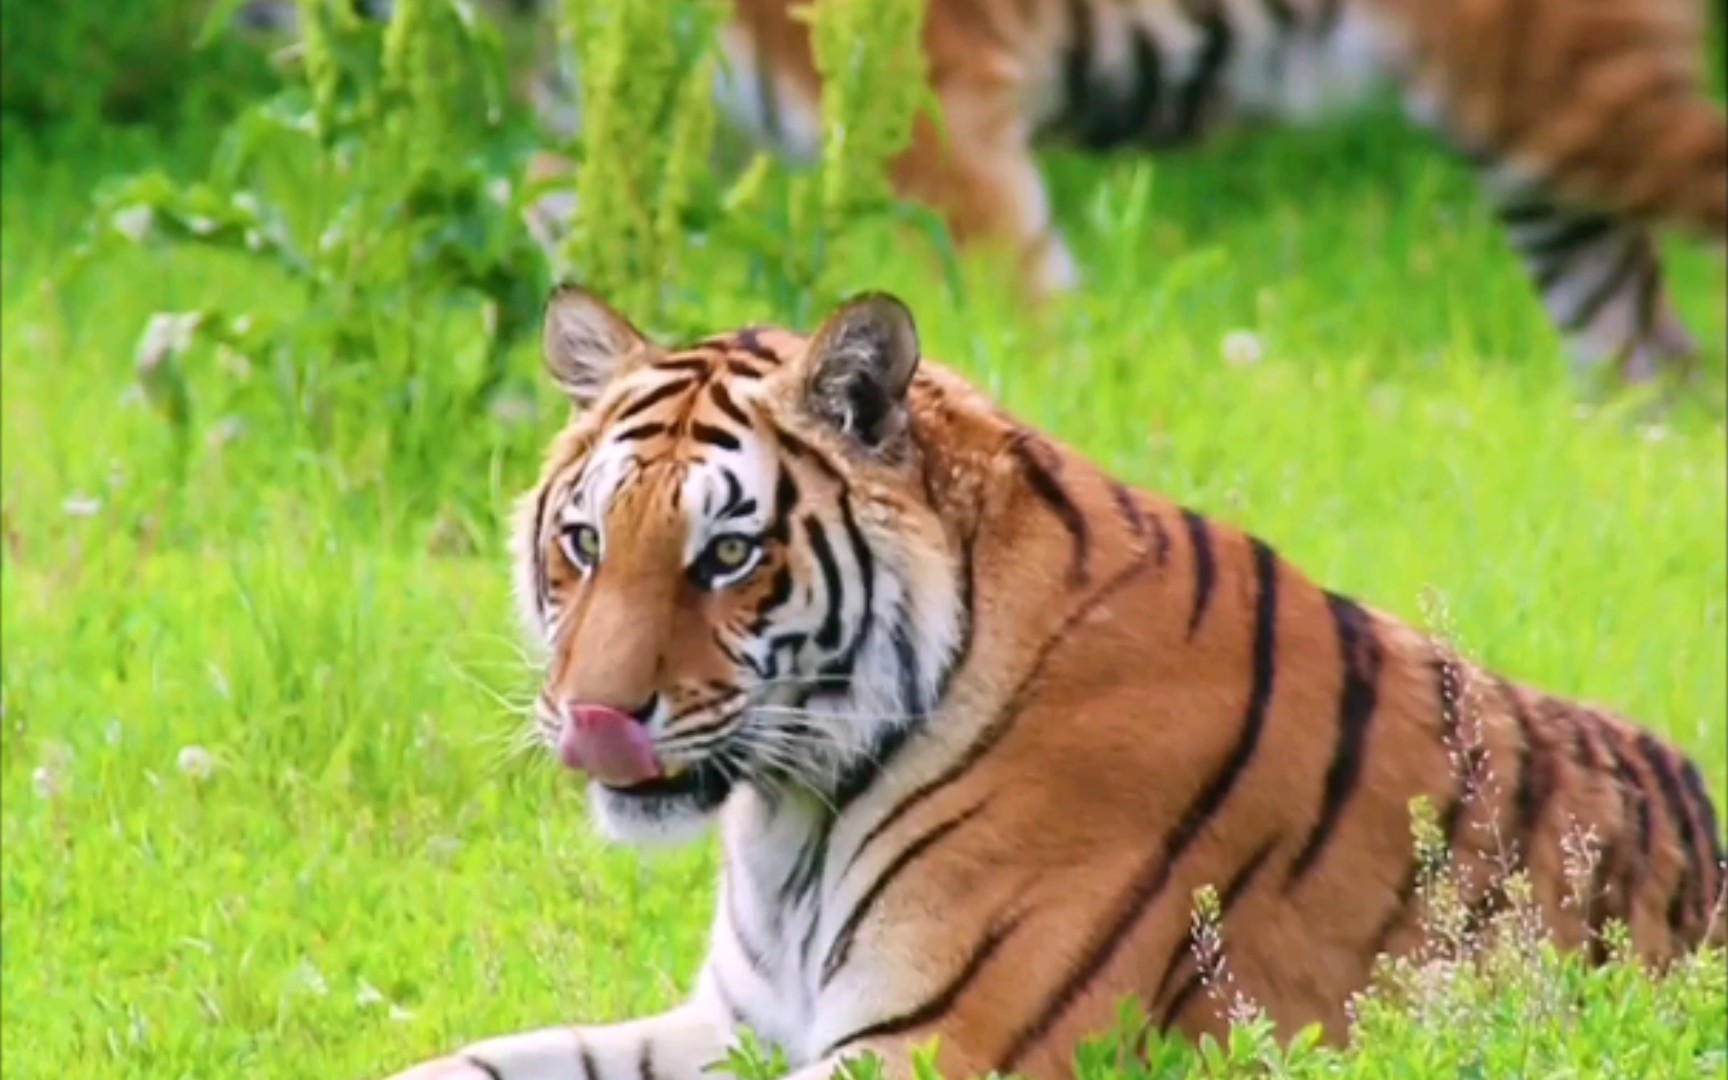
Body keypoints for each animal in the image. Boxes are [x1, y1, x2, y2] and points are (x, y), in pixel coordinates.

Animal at [371, 286, 1721, 1078]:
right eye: (584, 542)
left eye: (730, 555)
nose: (593, 718)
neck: (796, 812)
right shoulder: (733, 1022)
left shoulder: (934, 1044)